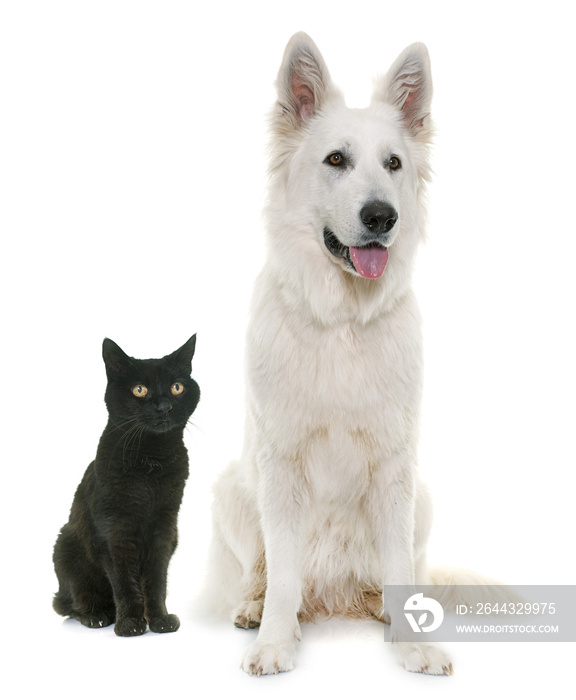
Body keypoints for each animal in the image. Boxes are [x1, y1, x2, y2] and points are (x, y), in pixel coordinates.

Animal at [53, 336, 200, 636]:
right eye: (139, 390)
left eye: (176, 387)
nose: (164, 407)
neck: (152, 459)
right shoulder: (114, 530)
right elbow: (123, 581)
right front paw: (130, 623)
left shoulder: (165, 527)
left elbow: (155, 580)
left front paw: (159, 619)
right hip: (65, 548)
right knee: (71, 602)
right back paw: (97, 615)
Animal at [207, 31, 486, 672]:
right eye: (336, 160)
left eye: (394, 164)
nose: (382, 216)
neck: (342, 324)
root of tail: (337, 597)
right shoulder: (280, 466)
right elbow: (284, 572)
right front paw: (275, 640)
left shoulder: (394, 466)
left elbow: (401, 568)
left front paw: (413, 642)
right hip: (232, 489)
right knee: (258, 571)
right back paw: (253, 608)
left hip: (423, 497)